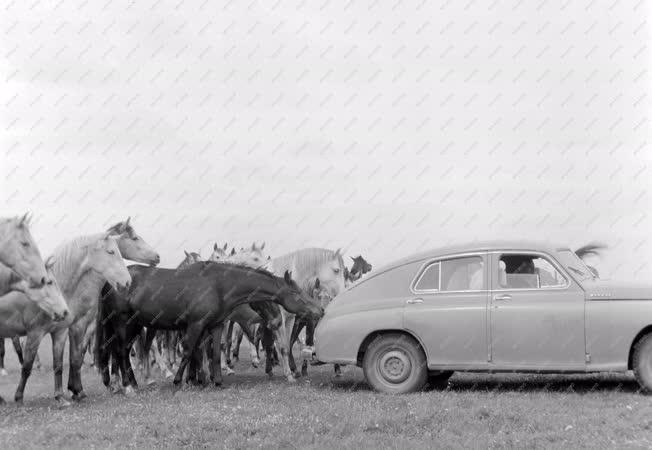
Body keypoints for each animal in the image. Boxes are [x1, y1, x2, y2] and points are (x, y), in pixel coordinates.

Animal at [96, 262, 320, 392]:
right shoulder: (196, 324)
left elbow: (214, 354)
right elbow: (188, 351)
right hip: (123, 323)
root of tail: (108, 282)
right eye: (297, 294)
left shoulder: (216, 325)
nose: (319, 310)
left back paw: (131, 384)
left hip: (133, 325)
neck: (218, 284)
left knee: (122, 353)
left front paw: (217, 382)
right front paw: (180, 381)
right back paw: (128, 387)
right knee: (121, 352)